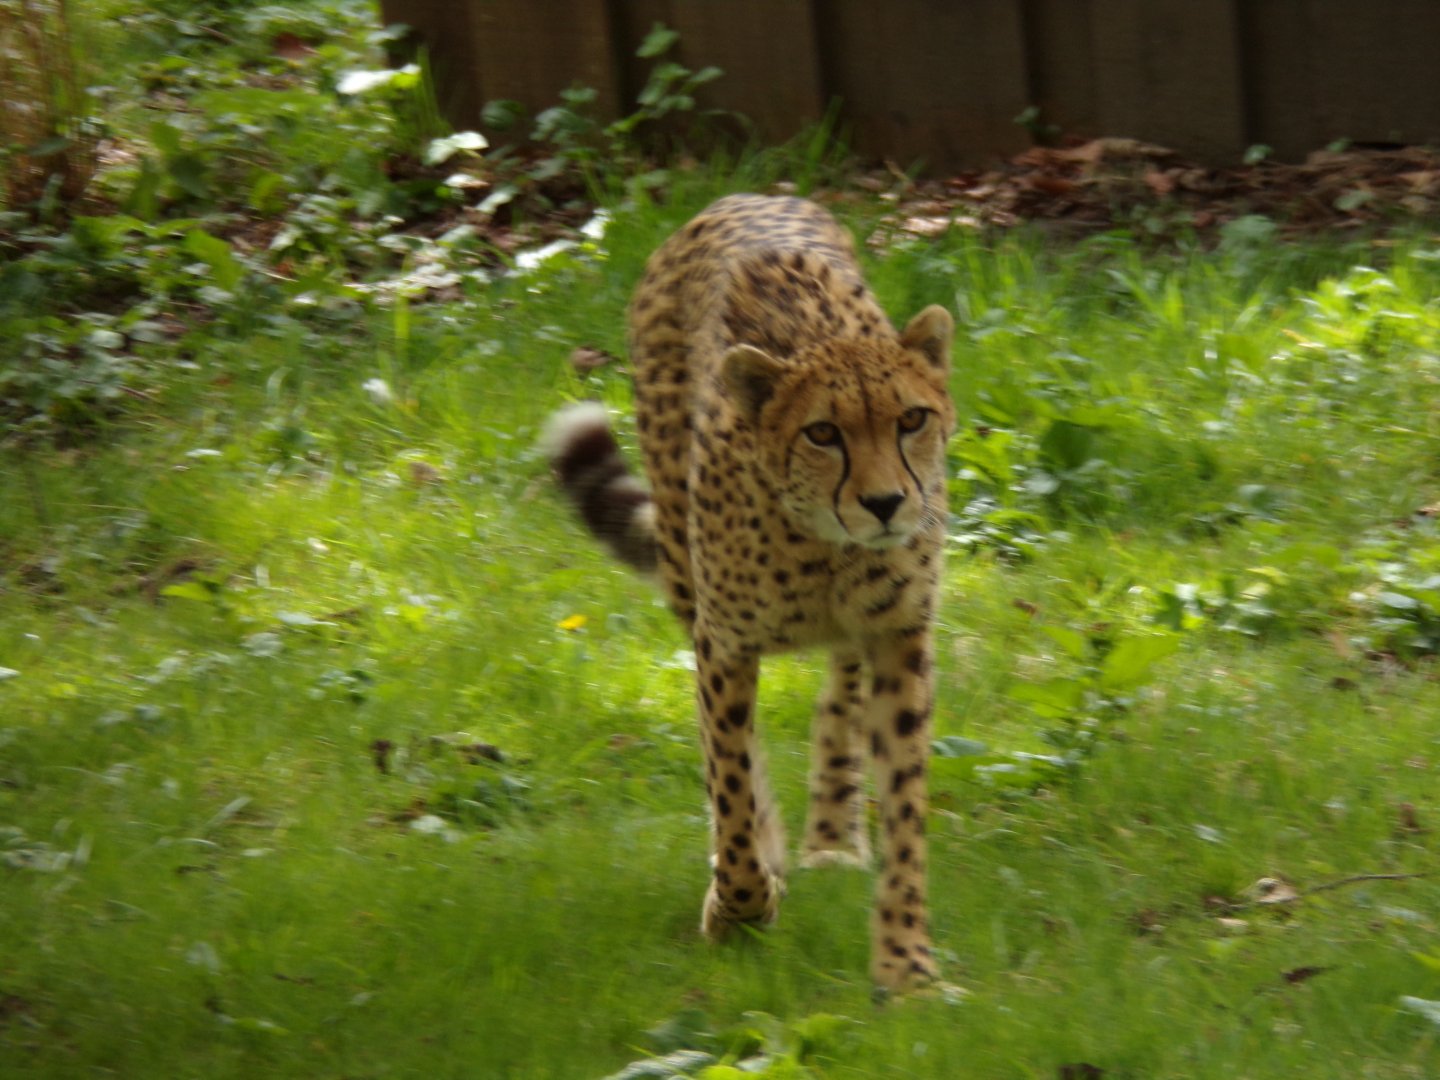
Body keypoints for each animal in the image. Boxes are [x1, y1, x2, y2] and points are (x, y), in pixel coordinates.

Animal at [544, 194, 956, 991]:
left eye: (912, 419)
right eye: (823, 433)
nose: (886, 504)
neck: (826, 549)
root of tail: (742, 197)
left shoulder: (899, 634)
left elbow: (905, 807)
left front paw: (906, 965)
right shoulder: (725, 643)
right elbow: (731, 781)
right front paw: (740, 904)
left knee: (838, 696)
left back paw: (832, 837)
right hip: (684, 571)